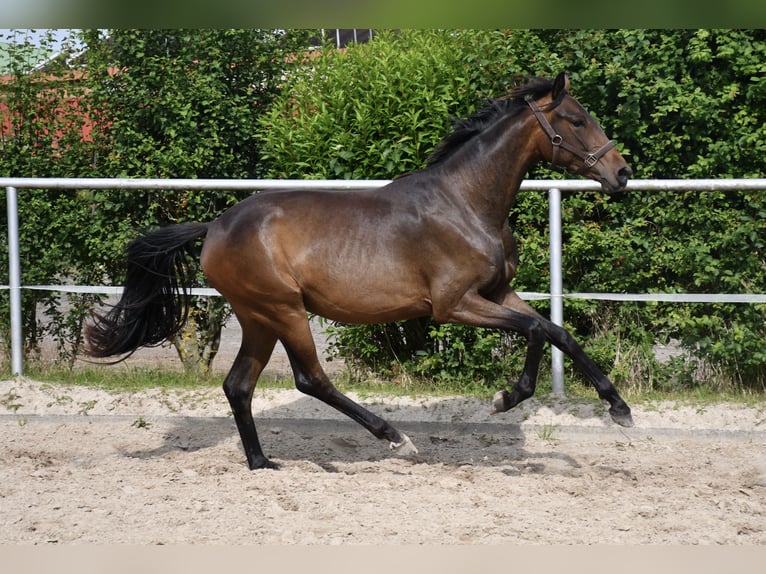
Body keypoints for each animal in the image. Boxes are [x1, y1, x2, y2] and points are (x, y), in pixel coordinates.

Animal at [85, 72, 634, 470]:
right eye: (576, 119)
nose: (622, 173)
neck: (466, 204)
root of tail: (215, 226)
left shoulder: (498, 293)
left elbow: (558, 332)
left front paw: (619, 408)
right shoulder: (454, 305)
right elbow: (538, 331)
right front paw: (506, 398)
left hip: (258, 317)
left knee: (238, 385)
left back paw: (263, 463)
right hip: (283, 310)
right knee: (310, 379)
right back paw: (395, 438)